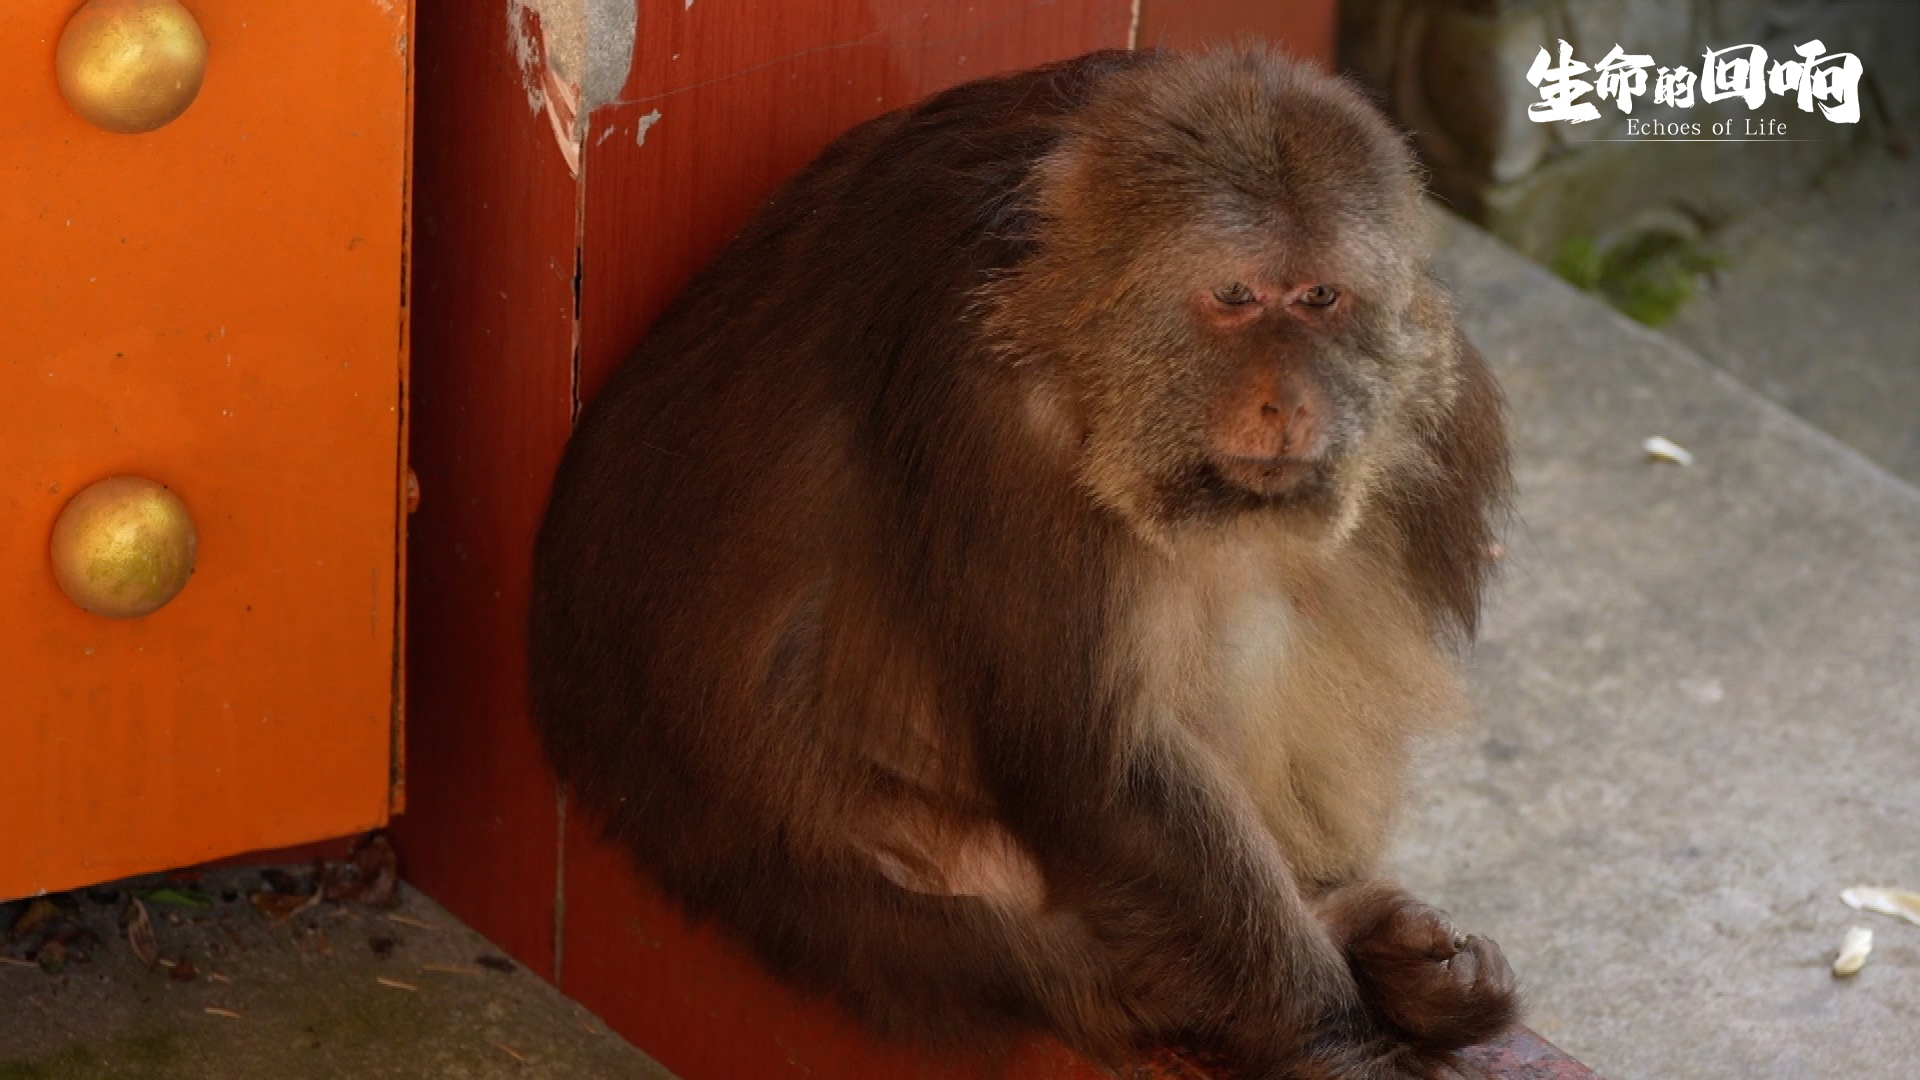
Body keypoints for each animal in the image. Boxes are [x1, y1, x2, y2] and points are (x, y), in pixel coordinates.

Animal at [526, 44, 1512, 1076]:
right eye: (1236, 298)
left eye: (1319, 297)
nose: (1288, 403)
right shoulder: (1002, 422)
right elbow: (1095, 772)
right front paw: (1337, 1039)